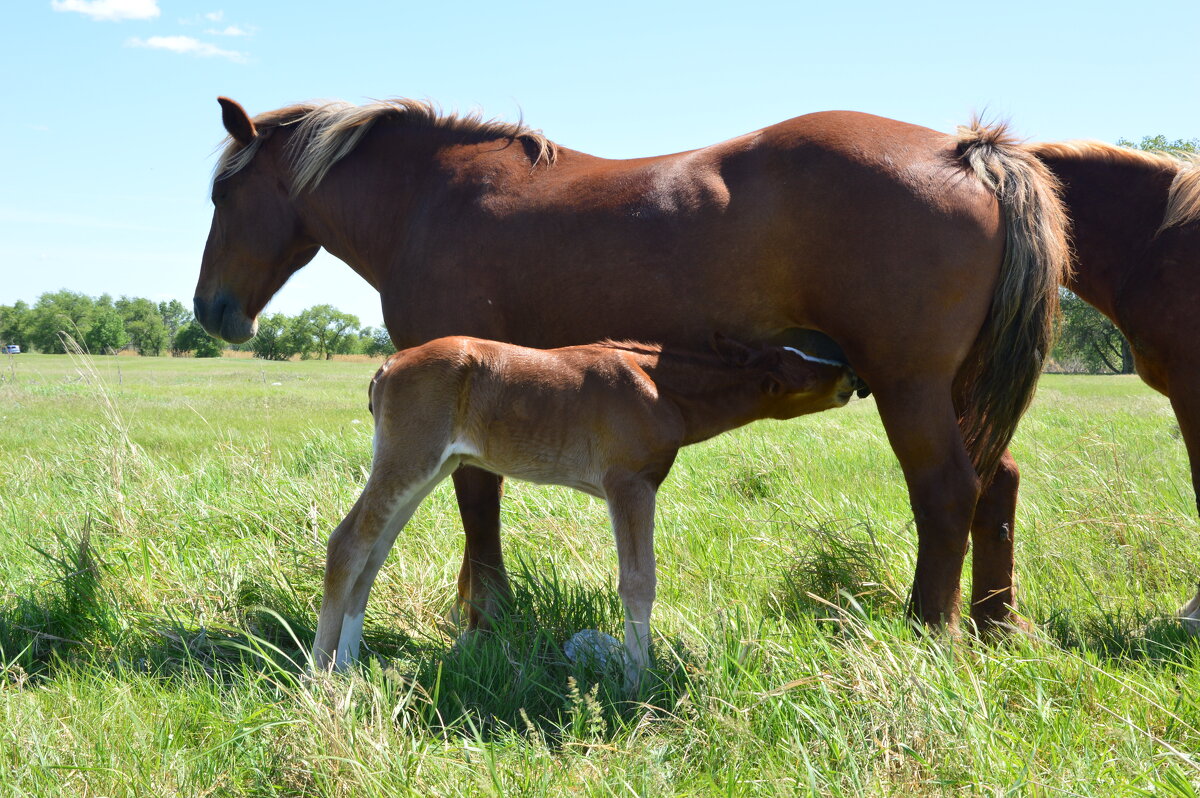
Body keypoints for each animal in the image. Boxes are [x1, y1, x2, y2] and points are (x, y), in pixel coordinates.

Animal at [194, 96, 1070, 628]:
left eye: (220, 197)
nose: (211, 309)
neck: (432, 200)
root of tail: (970, 152)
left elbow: (479, 498)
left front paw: (486, 612)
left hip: (909, 387)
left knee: (946, 492)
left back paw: (925, 628)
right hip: (957, 391)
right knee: (997, 482)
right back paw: (993, 623)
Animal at [316, 333, 864, 681]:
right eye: (796, 364)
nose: (850, 371)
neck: (660, 386)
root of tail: (387, 366)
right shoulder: (630, 485)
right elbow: (639, 583)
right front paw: (639, 684)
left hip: (430, 468)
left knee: (373, 553)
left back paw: (348, 667)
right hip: (408, 459)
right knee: (348, 543)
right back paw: (320, 673)